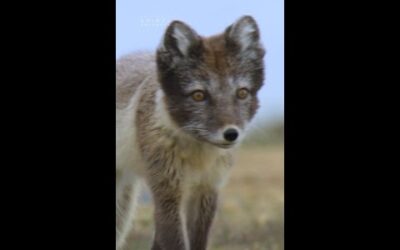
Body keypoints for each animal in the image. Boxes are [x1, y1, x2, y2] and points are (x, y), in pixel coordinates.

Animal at [115, 16, 266, 250]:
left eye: (242, 93)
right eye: (198, 95)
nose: (231, 134)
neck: (197, 155)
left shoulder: (207, 191)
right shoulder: (167, 192)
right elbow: (175, 241)